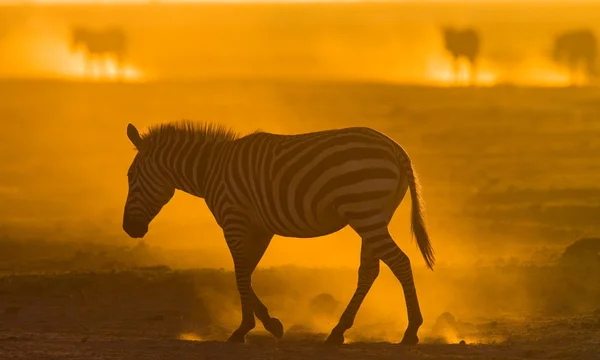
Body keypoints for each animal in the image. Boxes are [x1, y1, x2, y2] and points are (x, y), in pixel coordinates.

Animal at [123, 121, 436, 346]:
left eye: (130, 176)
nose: (128, 229)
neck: (211, 169)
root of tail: (395, 148)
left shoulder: (234, 221)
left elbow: (240, 274)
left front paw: (243, 330)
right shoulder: (260, 228)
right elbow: (247, 273)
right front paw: (270, 324)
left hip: (365, 213)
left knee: (400, 263)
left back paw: (411, 331)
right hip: (373, 217)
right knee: (370, 271)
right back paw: (338, 331)